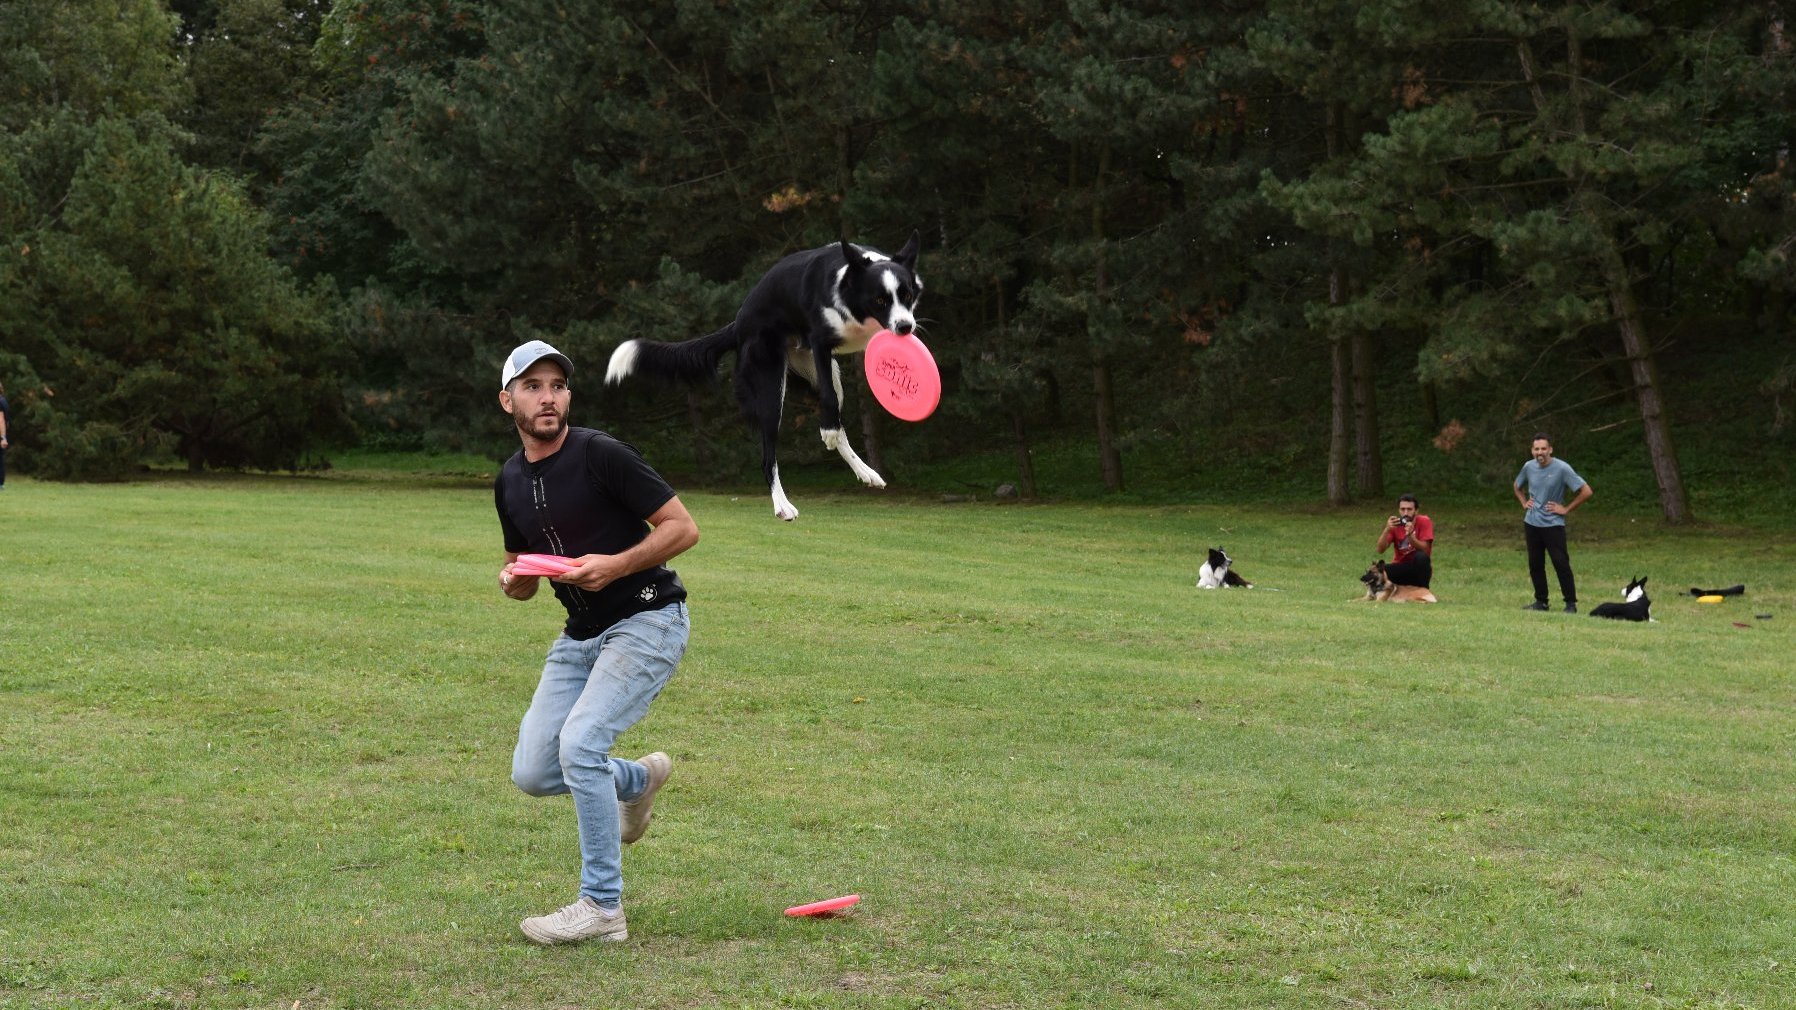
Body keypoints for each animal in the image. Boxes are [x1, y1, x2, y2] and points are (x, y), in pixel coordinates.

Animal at [607, 233, 919, 517]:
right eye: (879, 300)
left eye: (906, 296)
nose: (905, 327)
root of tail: (738, 324)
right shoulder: (819, 341)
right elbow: (828, 398)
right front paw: (828, 431)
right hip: (770, 387)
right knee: (769, 455)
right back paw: (782, 505)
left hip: (817, 369)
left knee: (836, 419)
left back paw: (866, 472)